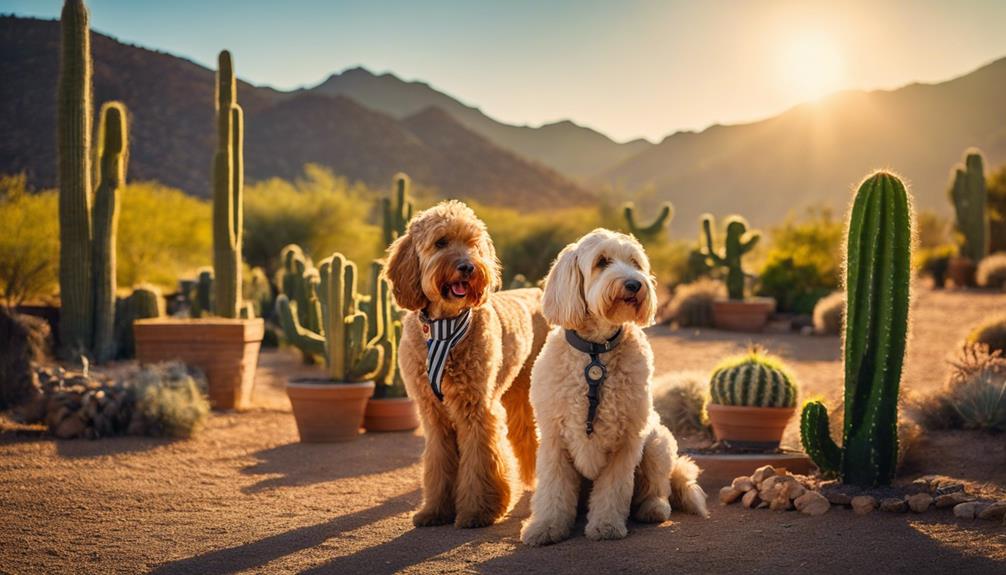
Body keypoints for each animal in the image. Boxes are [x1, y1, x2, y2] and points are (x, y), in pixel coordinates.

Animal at [384, 200, 547, 526]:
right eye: (441, 242)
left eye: (473, 244)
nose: (468, 266)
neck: (445, 328)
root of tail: (538, 289)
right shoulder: (433, 413)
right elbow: (439, 463)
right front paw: (435, 510)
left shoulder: (476, 408)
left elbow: (481, 460)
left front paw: (478, 511)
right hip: (514, 393)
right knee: (525, 435)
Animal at [519, 227, 708, 546]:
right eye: (602, 262)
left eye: (635, 262)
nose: (634, 284)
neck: (595, 353)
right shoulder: (553, 438)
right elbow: (553, 489)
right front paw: (546, 526)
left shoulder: (627, 440)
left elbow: (614, 489)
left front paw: (606, 526)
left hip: (657, 442)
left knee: (658, 487)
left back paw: (653, 508)